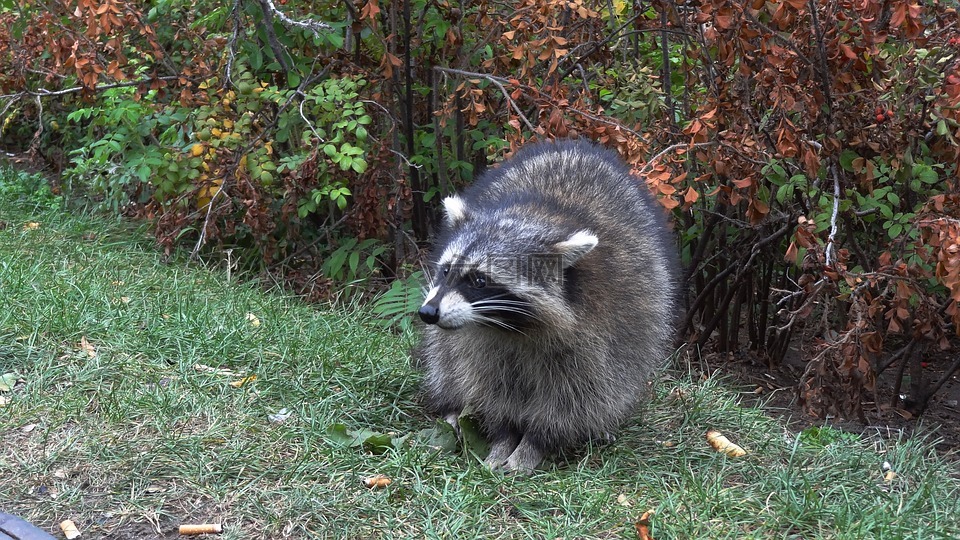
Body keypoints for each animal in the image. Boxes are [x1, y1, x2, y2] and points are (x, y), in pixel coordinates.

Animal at [416, 140, 680, 472]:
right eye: (446, 270)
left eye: (479, 280)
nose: (428, 313)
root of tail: (575, 147)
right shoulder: (481, 342)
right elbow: (491, 385)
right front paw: (504, 437)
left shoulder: (599, 328)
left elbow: (577, 397)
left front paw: (533, 444)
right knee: (443, 358)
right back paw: (451, 407)